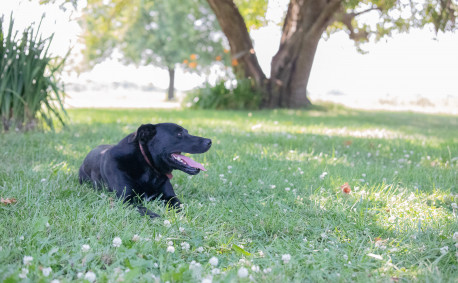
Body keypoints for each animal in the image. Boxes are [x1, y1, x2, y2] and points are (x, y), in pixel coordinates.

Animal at [79, 123, 213, 219]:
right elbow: (144, 209)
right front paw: (158, 217)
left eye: (186, 132)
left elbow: (180, 206)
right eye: (179, 134)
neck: (148, 167)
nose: (210, 141)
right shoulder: (125, 199)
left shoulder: (170, 197)